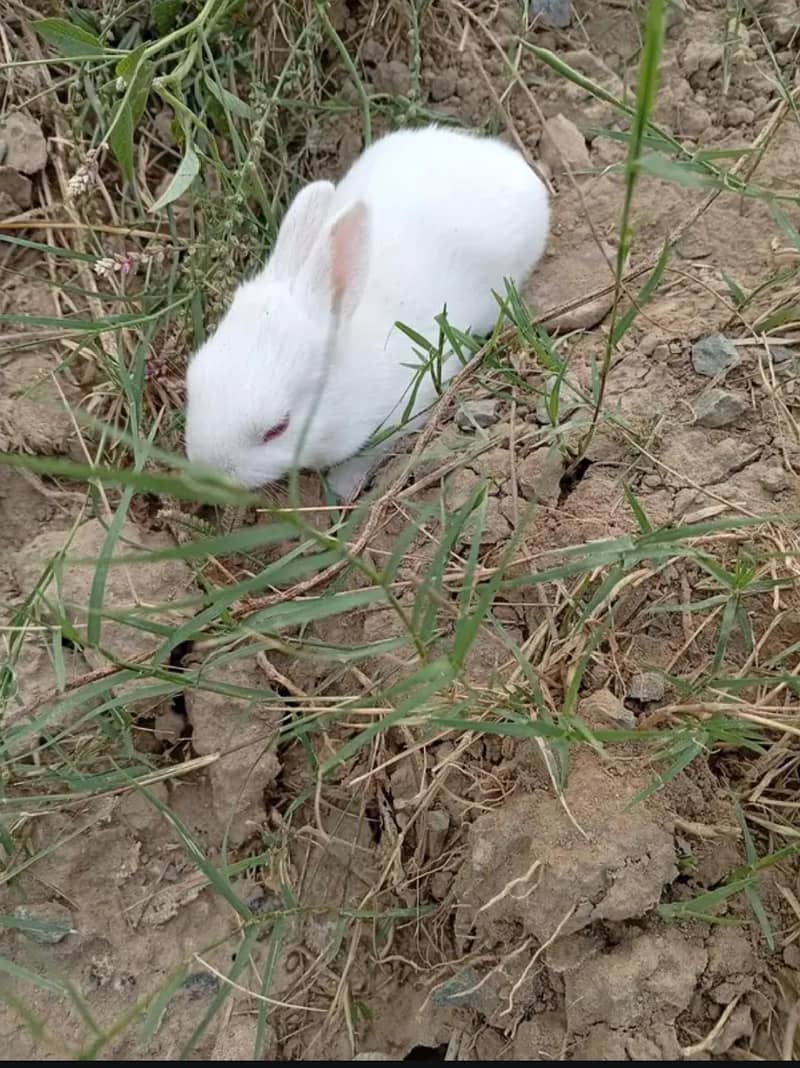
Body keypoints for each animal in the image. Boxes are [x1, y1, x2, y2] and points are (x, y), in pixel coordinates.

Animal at [184, 124, 549, 501]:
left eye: (277, 429)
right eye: (191, 380)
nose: (206, 470)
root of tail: (507, 160)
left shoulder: (406, 408)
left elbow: (371, 452)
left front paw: (342, 485)